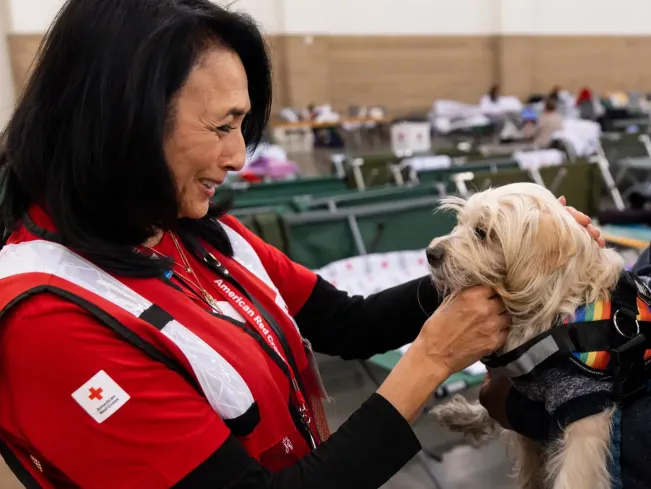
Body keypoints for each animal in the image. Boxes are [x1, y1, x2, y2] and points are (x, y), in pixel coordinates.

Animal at [430, 182, 624, 488]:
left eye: (482, 232)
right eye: (460, 223)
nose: (430, 253)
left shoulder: (586, 408)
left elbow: (571, 475)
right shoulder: (521, 392)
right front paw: (466, 414)